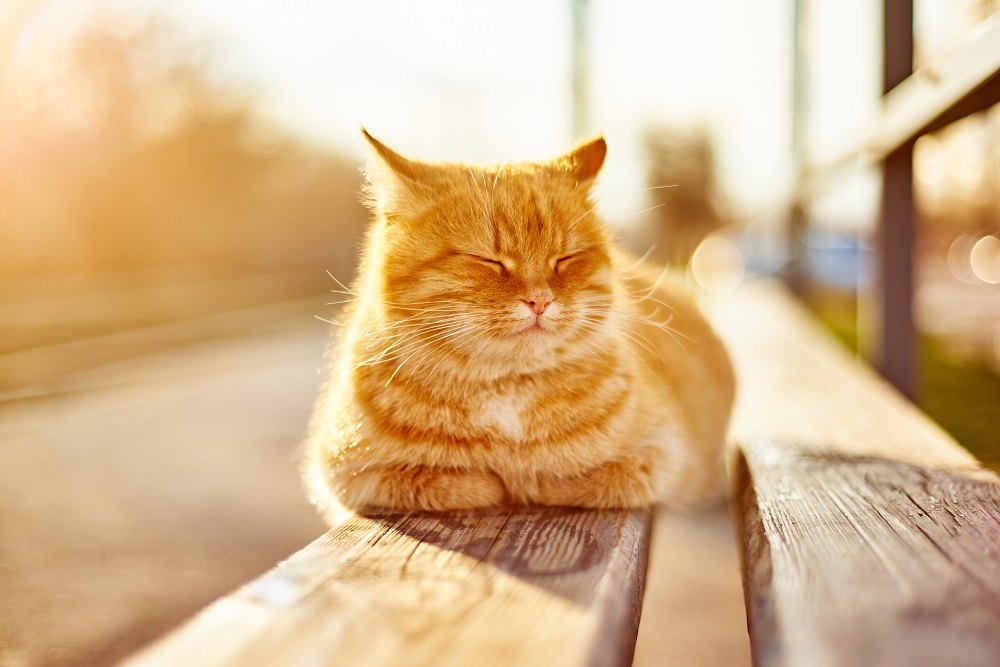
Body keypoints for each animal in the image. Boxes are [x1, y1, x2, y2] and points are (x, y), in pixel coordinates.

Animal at [302, 128, 736, 520]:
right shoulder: (351, 475)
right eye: (489, 260)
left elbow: (574, 481)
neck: (506, 390)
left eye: (564, 259)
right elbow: (459, 483)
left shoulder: (660, 459)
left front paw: (528, 480)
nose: (540, 300)